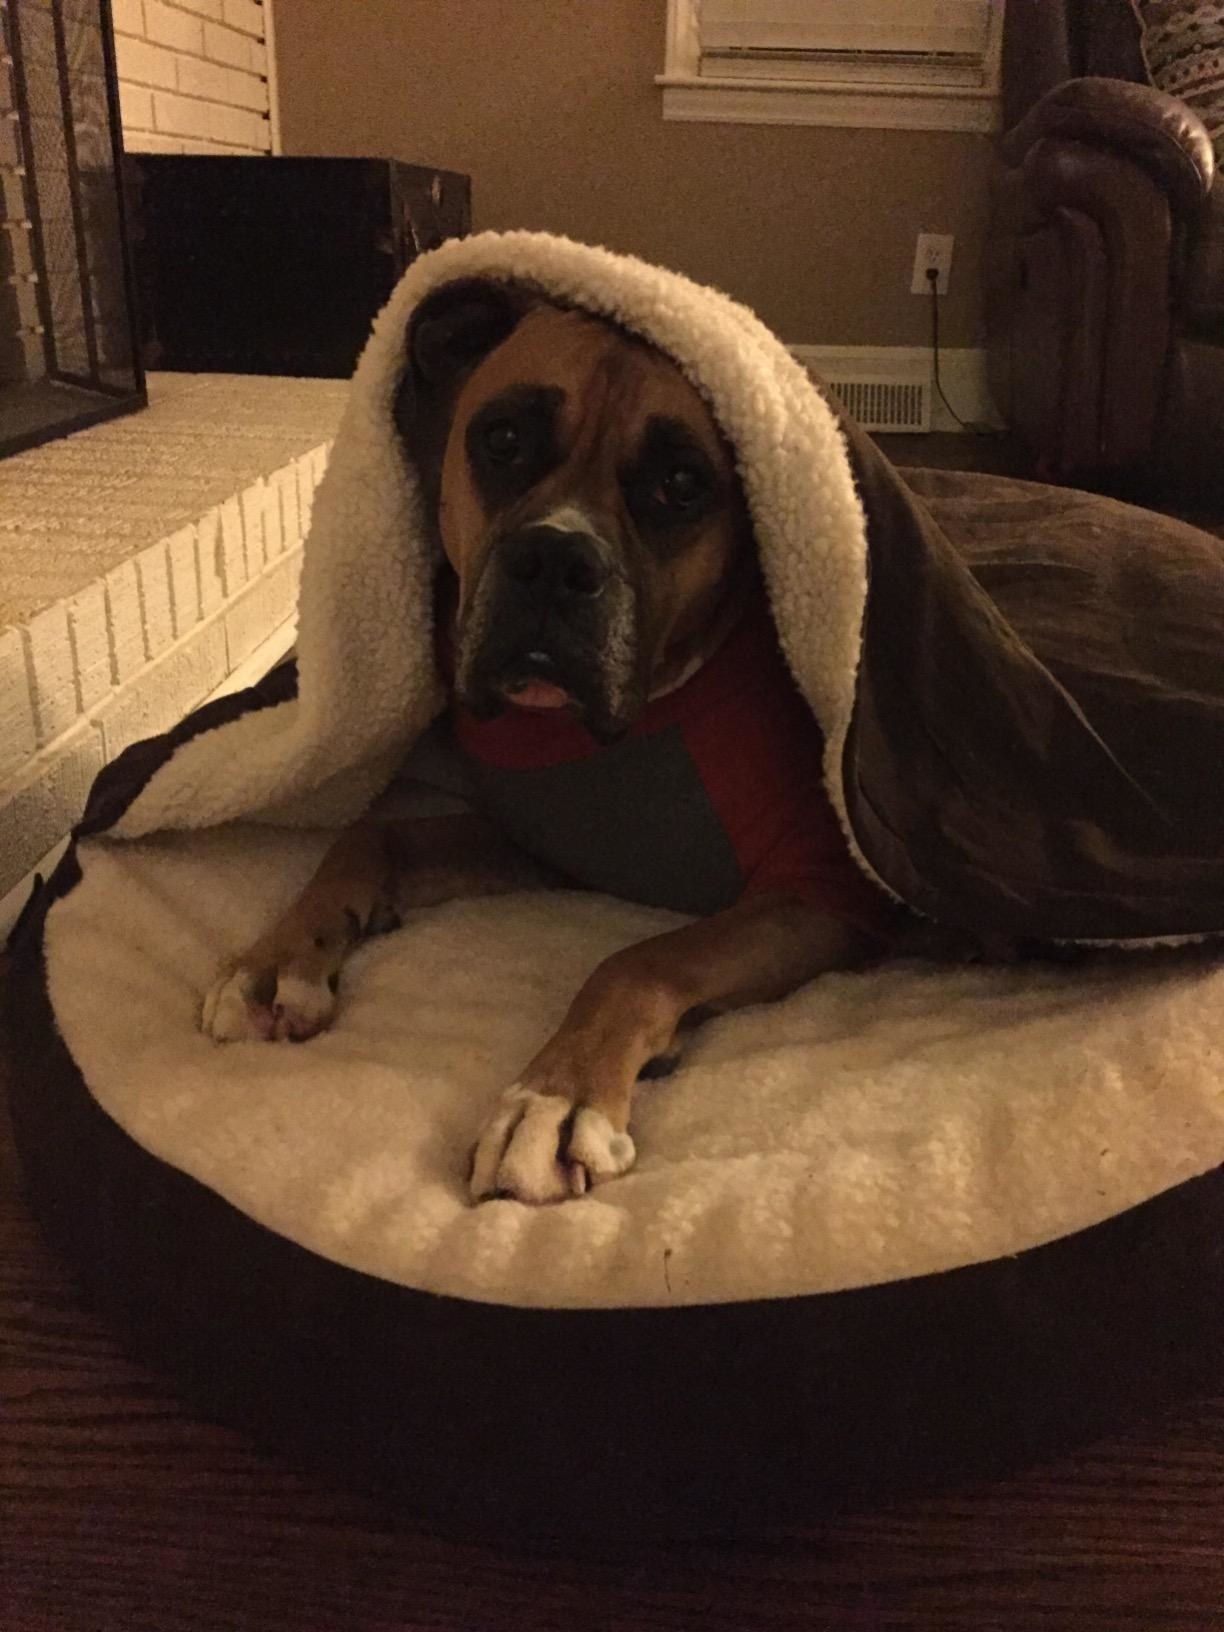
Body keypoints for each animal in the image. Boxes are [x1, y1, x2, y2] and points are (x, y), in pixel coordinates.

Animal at [199, 277, 894, 1201]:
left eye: (682, 483)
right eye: (502, 439)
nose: (557, 560)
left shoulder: (821, 893)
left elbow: (641, 960)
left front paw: (555, 1100)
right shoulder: (536, 846)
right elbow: (366, 837)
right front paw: (280, 959)